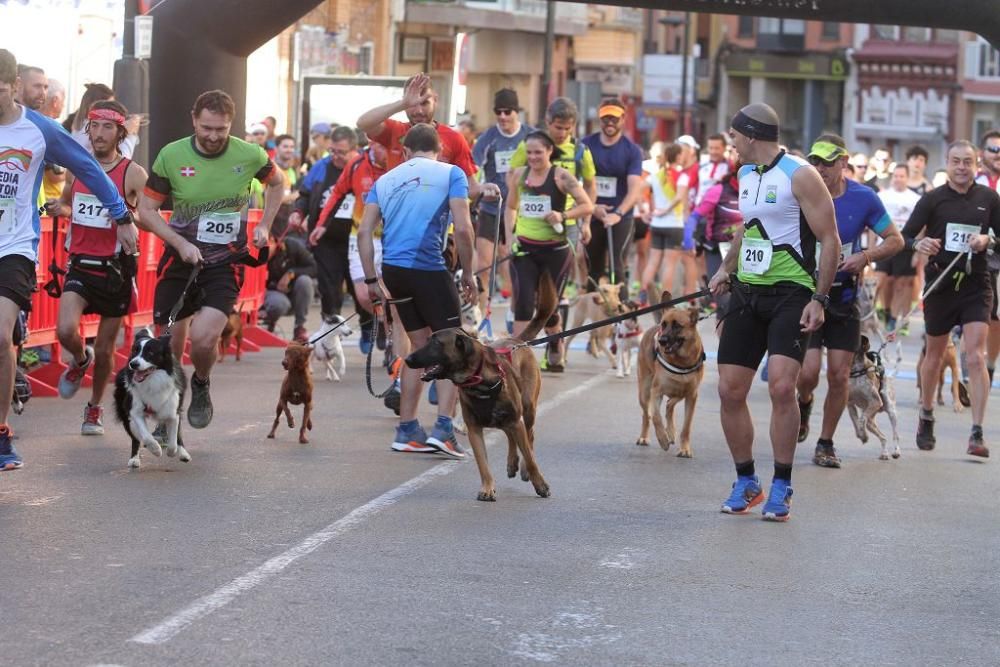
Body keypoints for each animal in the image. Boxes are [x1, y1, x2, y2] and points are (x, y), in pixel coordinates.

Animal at [114, 330, 190, 470]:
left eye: (150, 353)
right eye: (134, 351)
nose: (133, 364)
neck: (152, 381)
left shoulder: (173, 410)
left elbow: (174, 438)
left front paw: (172, 452)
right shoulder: (134, 410)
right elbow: (146, 436)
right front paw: (156, 449)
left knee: (178, 435)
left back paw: (183, 454)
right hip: (124, 412)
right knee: (135, 438)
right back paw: (134, 459)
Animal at [406, 272, 564, 500]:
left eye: (436, 343)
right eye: (428, 340)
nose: (408, 359)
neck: (478, 382)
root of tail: (517, 340)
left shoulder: (515, 419)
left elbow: (530, 456)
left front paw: (540, 483)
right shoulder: (474, 430)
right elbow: (483, 464)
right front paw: (487, 487)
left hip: (527, 408)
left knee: (529, 436)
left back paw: (523, 468)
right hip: (510, 418)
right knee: (510, 435)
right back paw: (512, 463)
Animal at [636, 292, 708, 460]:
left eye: (677, 326)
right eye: (664, 324)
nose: (661, 341)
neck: (681, 361)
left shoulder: (692, 396)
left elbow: (686, 427)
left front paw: (685, 449)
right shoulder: (656, 392)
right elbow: (656, 417)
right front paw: (662, 439)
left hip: (681, 392)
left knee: (670, 405)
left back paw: (671, 431)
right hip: (644, 393)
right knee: (646, 415)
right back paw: (644, 437)